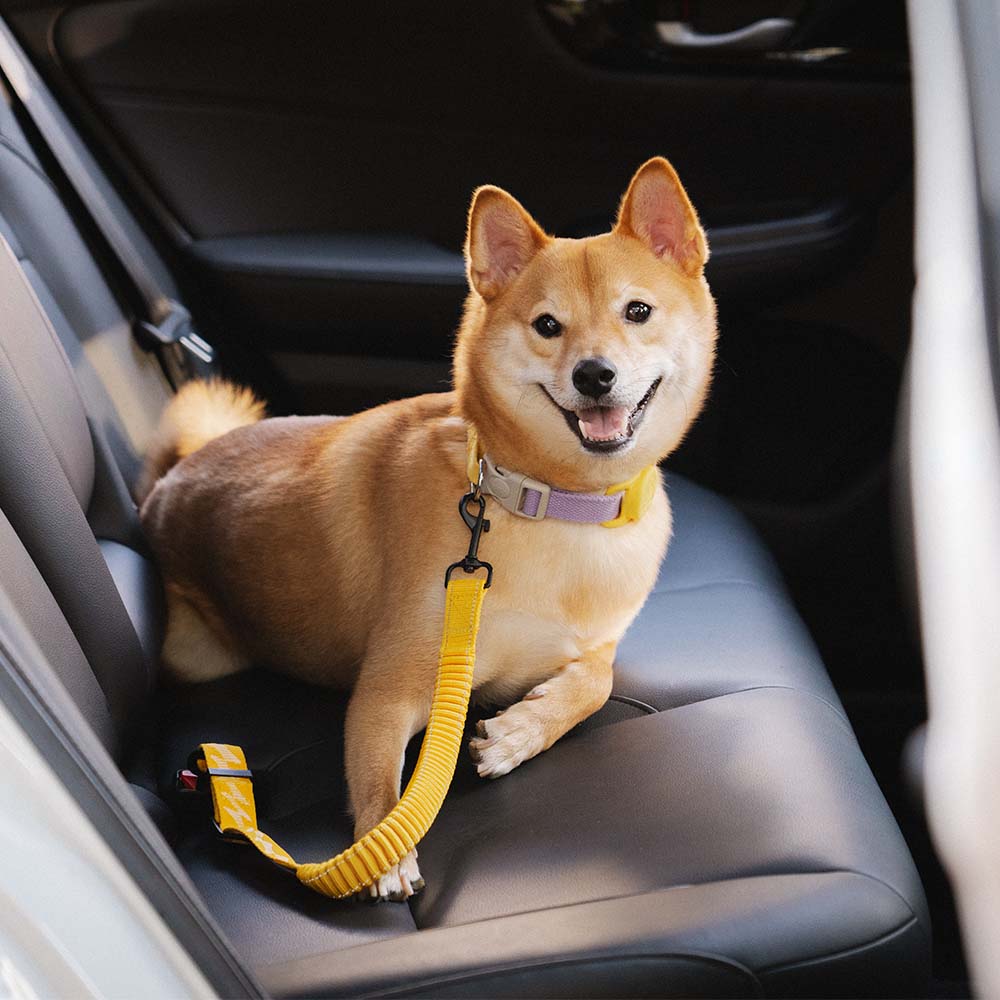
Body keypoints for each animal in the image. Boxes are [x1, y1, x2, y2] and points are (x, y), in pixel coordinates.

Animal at [141, 156, 720, 900]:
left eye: (638, 312)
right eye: (548, 325)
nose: (595, 375)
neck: (557, 504)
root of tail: (169, 480)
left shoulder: (592, 645)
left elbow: (597, 680)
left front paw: (522, 730)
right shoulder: (393, 688)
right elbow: (386, 789)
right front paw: (384, 848)